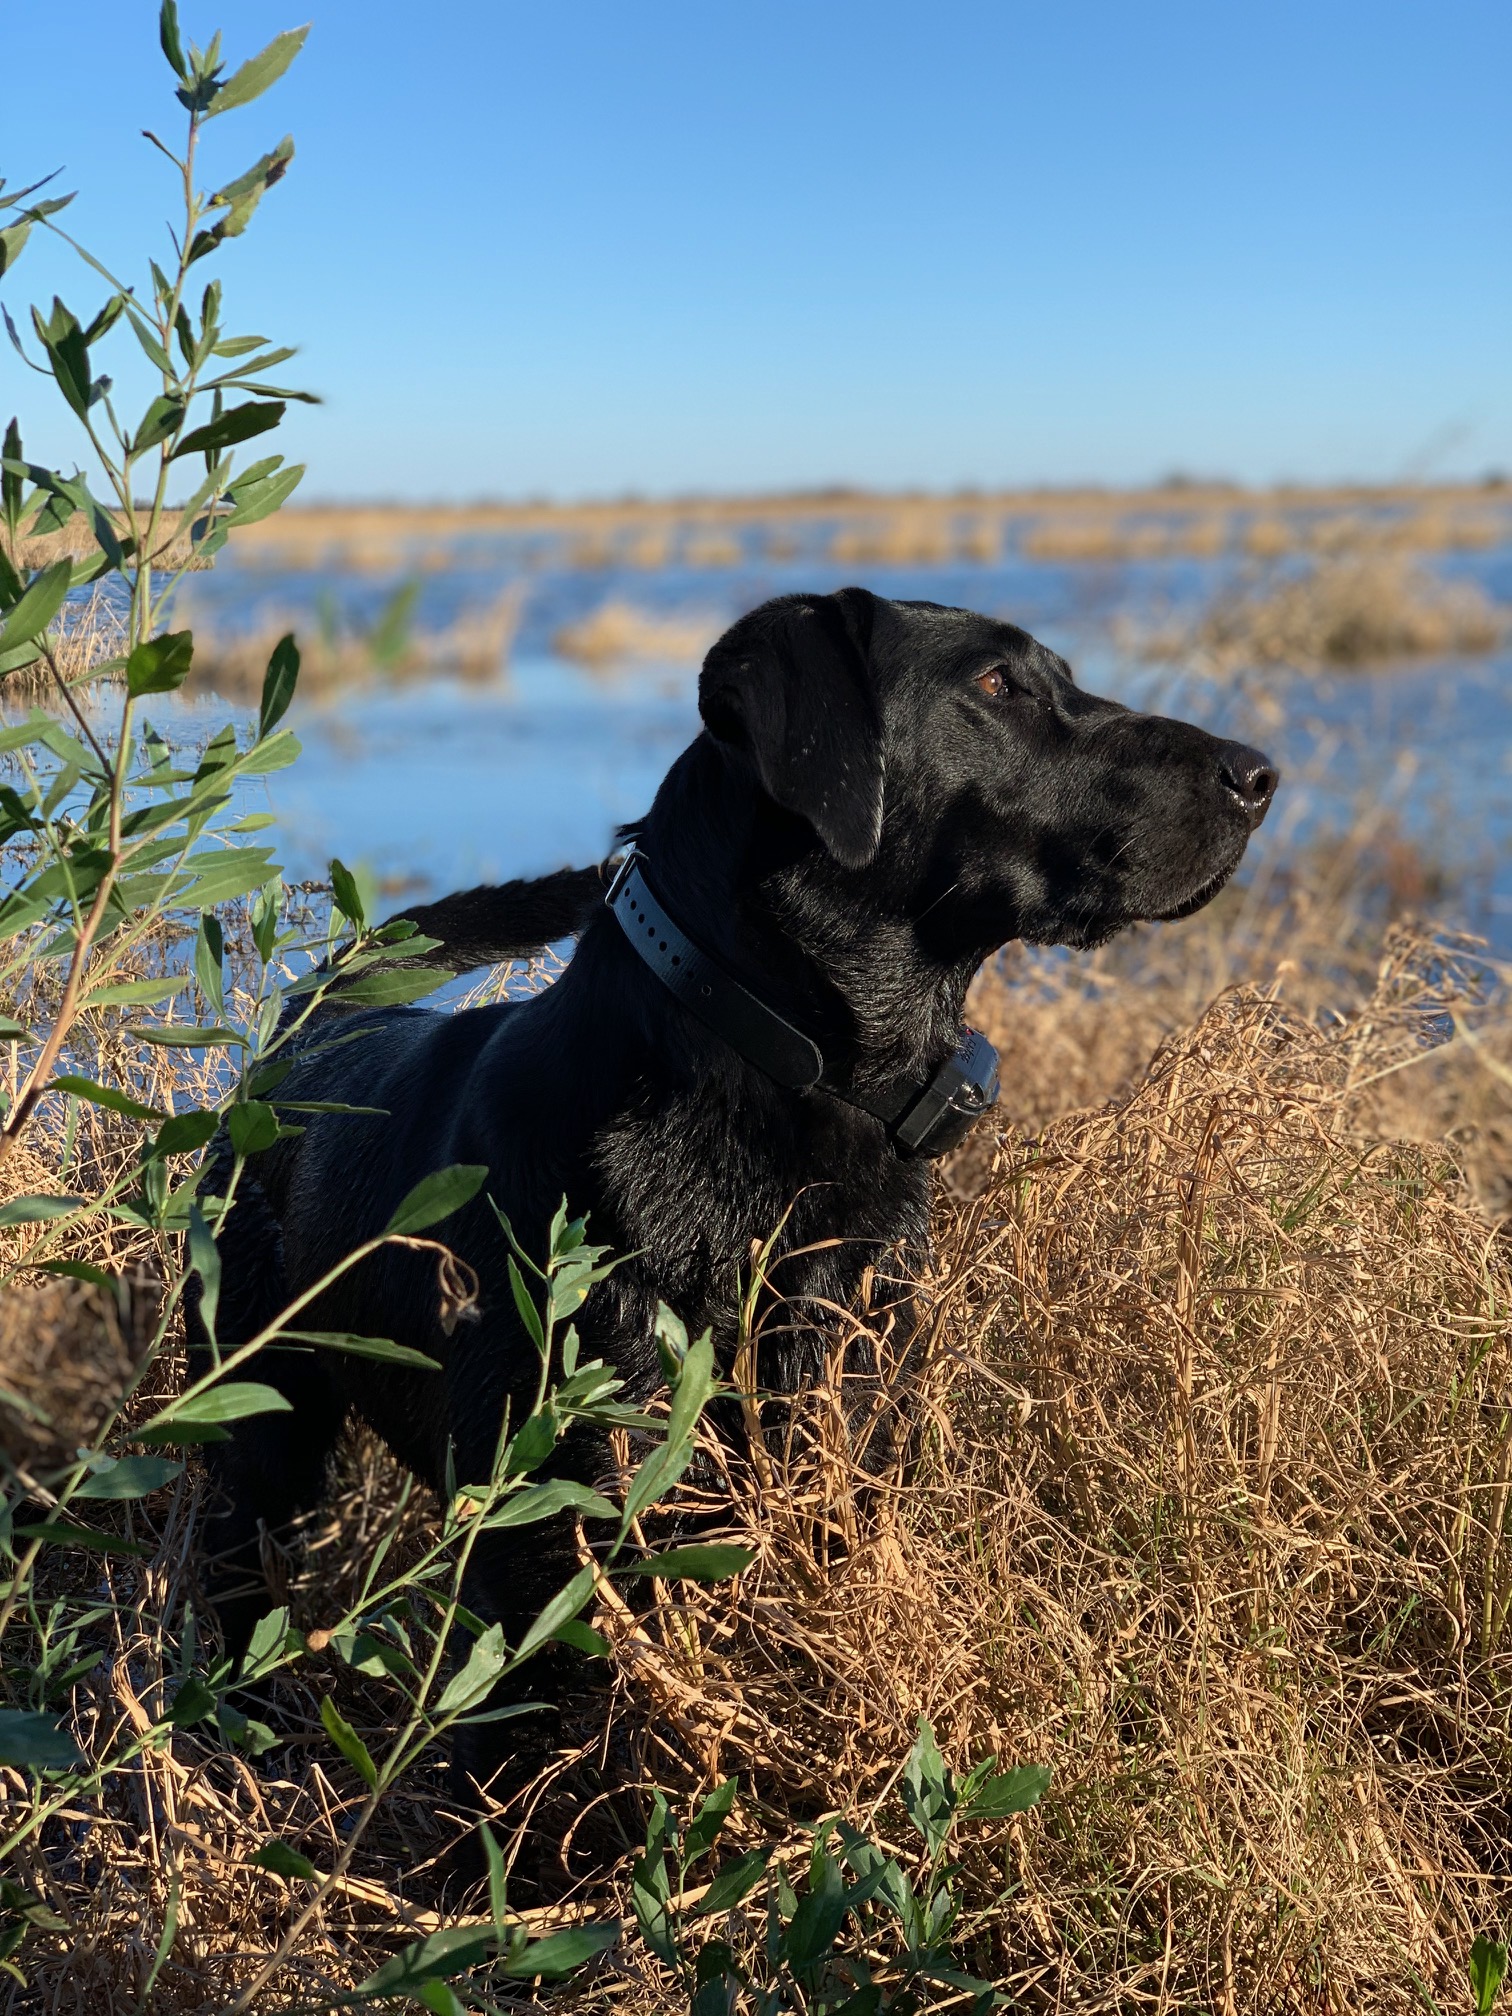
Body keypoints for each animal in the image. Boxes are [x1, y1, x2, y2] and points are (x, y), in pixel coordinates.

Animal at [192, 584, 1282, 1798]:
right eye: (997, 685)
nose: (1257, 774)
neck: (770, 1085)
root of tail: (308, 1023)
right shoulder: (541, 1562)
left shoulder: (851, 1470)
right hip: (259, 1428)